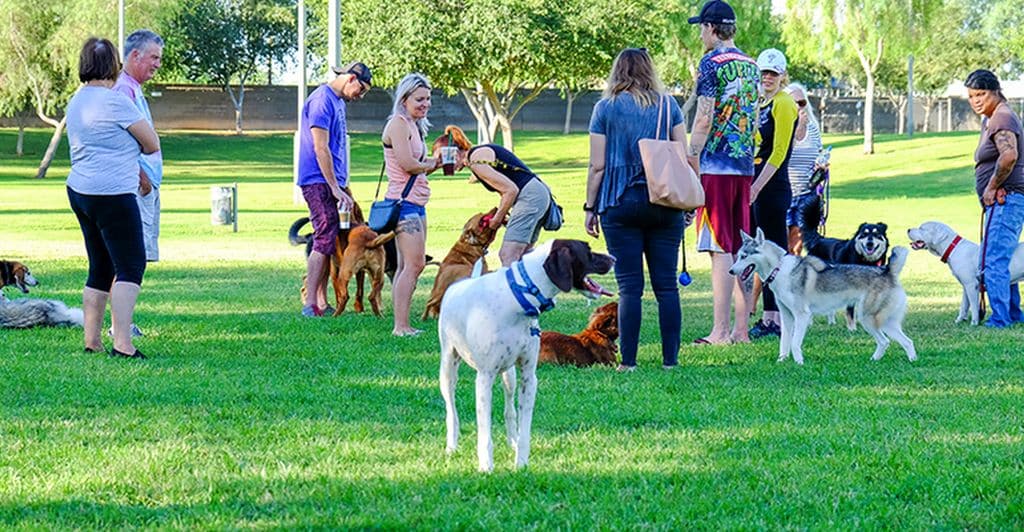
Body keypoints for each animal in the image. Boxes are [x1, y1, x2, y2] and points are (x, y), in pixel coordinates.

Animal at [436, 239, 610, 472]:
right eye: (588, 250)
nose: (614, 258)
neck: (517, 298)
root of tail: (460, 284)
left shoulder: (528, 376)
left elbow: (524, 428)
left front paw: (521, 464)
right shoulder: (484, 378)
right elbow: (484, 432)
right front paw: (486, 466)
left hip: (509, 376)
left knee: (509, 410)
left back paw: (511, 441)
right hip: (448, 369)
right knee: (451, 411)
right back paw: (451, 446)